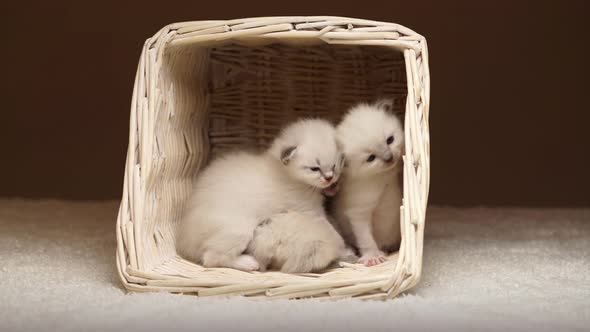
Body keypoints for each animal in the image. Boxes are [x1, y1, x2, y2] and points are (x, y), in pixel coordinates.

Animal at [180, 119, 346, 272]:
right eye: (314, 169)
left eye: (334, 166)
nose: (329, 178)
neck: (286, 173)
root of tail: (184, 241)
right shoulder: (310, 211)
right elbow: (331, 230)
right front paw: (342, 246)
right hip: (239, 229)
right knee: (211, 259)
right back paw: (249, 263)